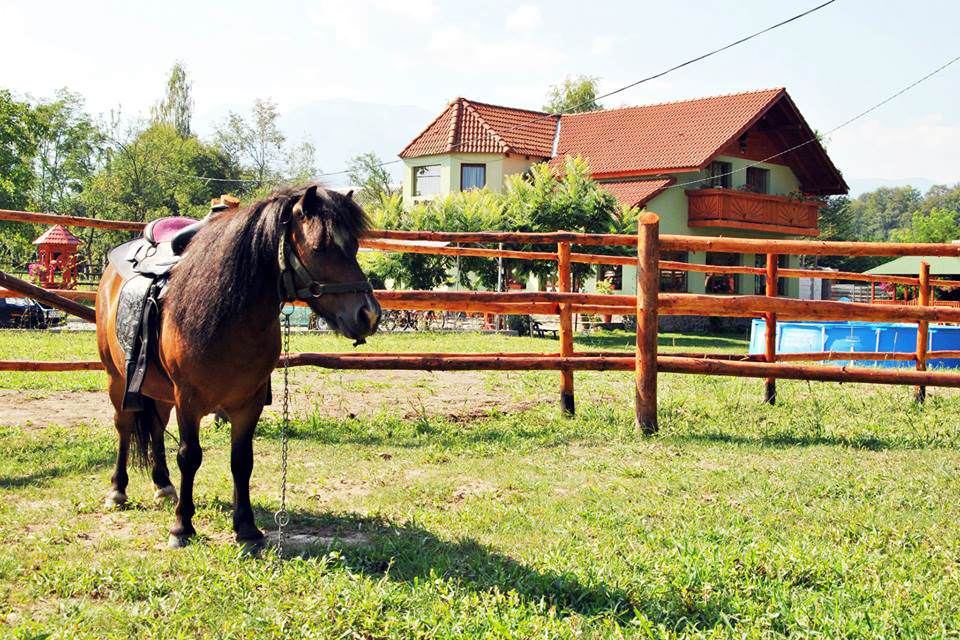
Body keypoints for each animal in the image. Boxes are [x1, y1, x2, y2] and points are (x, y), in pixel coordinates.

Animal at [95, 182, 380, 548]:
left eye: (355, 246)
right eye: (320, 247)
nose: (369, 314)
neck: (229, 315)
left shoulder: (249, 402)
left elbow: (242, 461)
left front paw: (246, 528)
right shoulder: (188, 400)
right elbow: (190, 456)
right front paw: (182, 527)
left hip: (158, 388)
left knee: (156, 427)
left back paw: (163, 485)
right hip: (117, 378)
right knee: (124, 426)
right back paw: (118, 489)